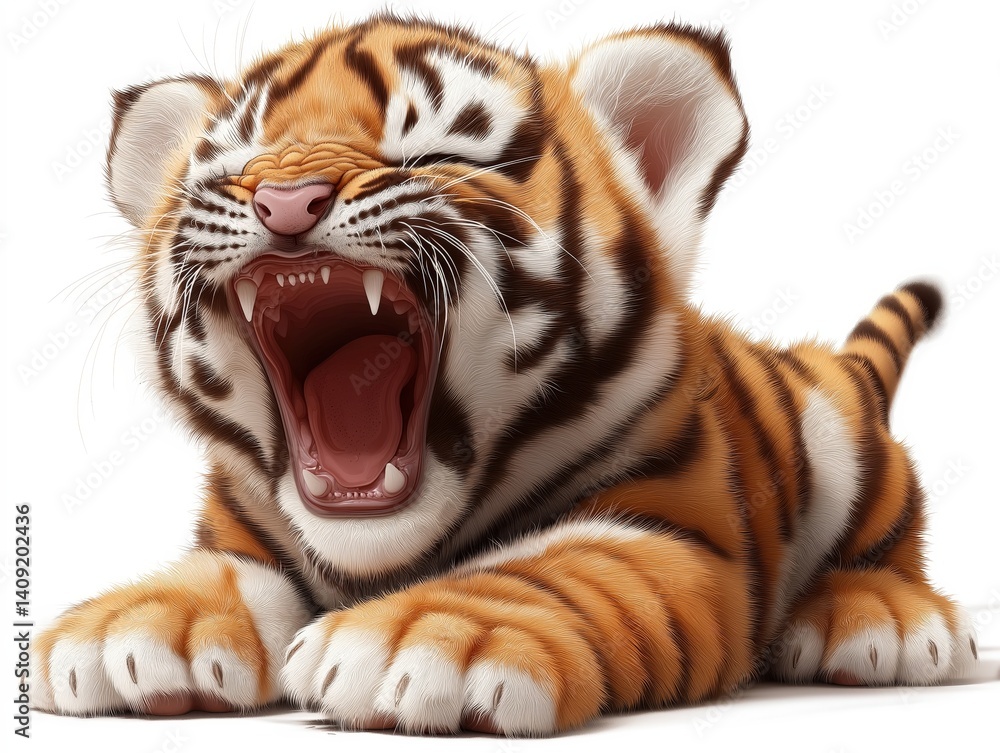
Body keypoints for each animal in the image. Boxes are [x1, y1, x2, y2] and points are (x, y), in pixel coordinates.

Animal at [34, 14, 979, 735]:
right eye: (231, 171)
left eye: (431, 155)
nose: (286, 202)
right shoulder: (242, 528)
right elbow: (219, 573)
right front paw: (129, 627)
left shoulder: (673, 525)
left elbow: (553, 566)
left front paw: (420, 638)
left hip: (848, 445)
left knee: (887, 542)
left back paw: (881, 623)